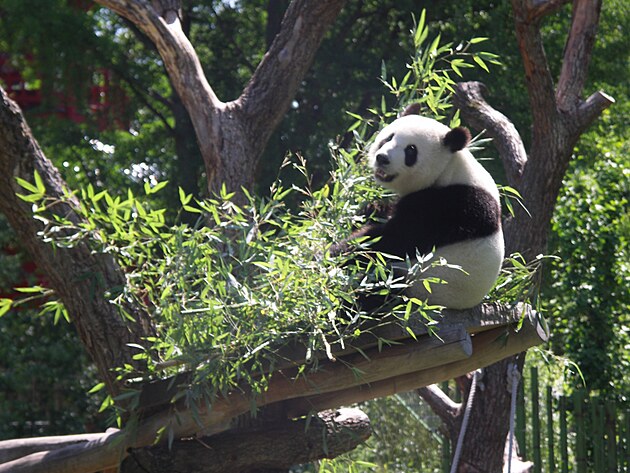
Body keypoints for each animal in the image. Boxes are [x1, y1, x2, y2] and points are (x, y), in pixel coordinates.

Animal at [338, 106, 506, 312]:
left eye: (411, 150)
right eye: (389, 137)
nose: (382, 158)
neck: (450, 168)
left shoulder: (446, 206)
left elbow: (389, 241)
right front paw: (371, 209)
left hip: (418, 287)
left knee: (379, 283)